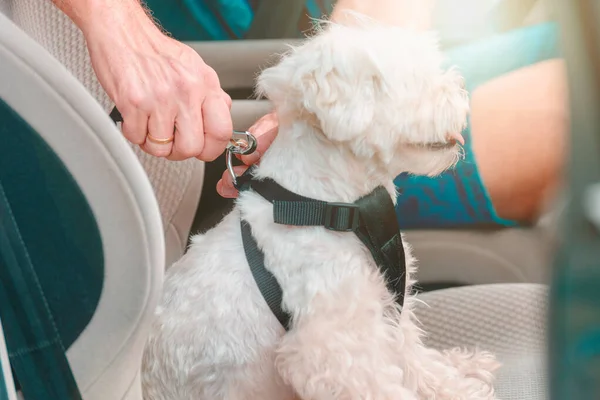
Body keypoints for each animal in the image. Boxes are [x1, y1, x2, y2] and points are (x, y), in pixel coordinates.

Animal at [143, 17, 500, 400]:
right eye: (415, 79)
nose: (461, 88)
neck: (331, 205)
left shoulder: (384, 305)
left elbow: (412, 356)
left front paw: (457, 381)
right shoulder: (333, 346)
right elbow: (380, 382)